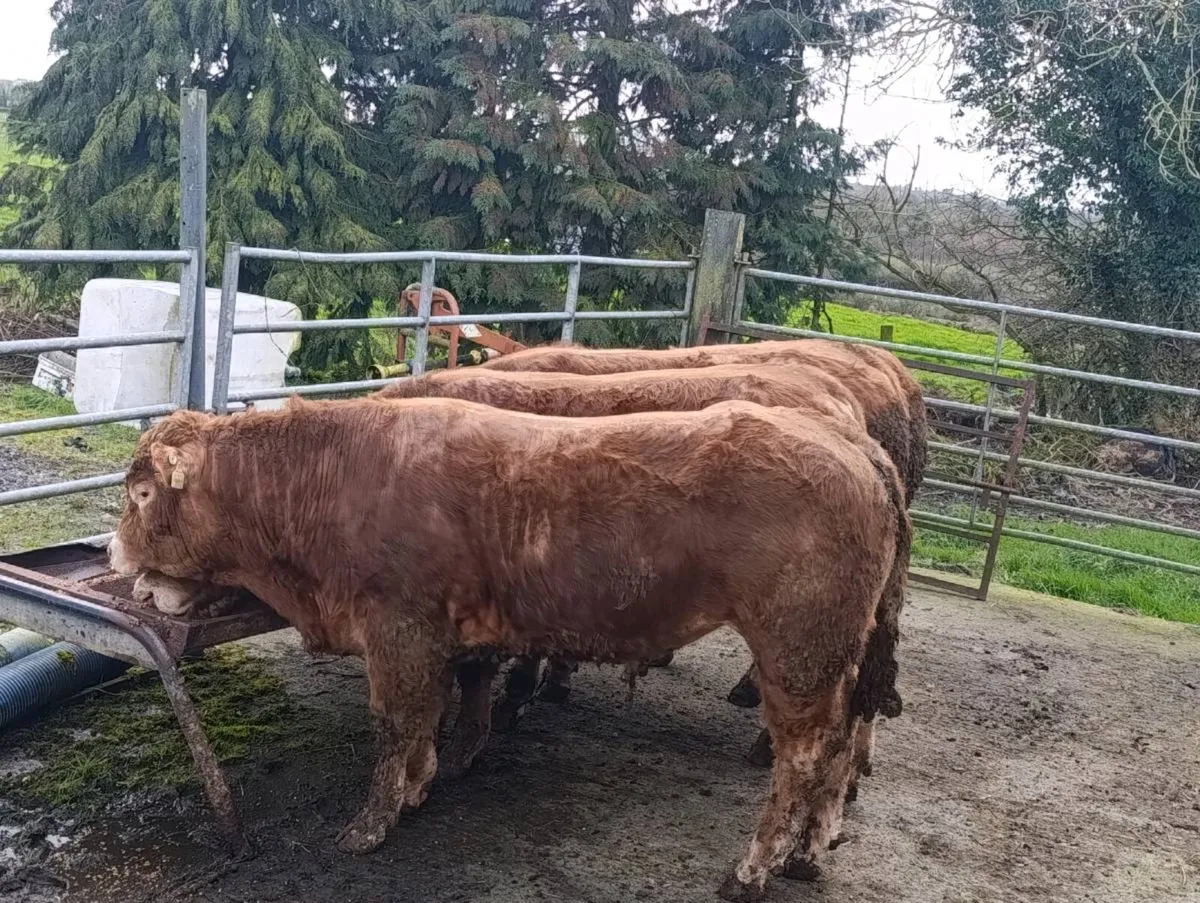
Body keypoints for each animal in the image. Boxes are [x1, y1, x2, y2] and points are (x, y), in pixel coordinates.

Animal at [108, 396, 907, 900]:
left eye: (141, 493)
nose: (114, 552)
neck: (331, 476)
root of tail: (850, 443)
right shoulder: (443, 635)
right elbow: (441, 711)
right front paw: (425, 782)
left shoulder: (398, 629)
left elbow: (397, 724)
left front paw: (372, 823)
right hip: (836, 658)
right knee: (840, 749)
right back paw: (809, 854)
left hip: (799, 653)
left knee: (805, 756)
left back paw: (751, 870)